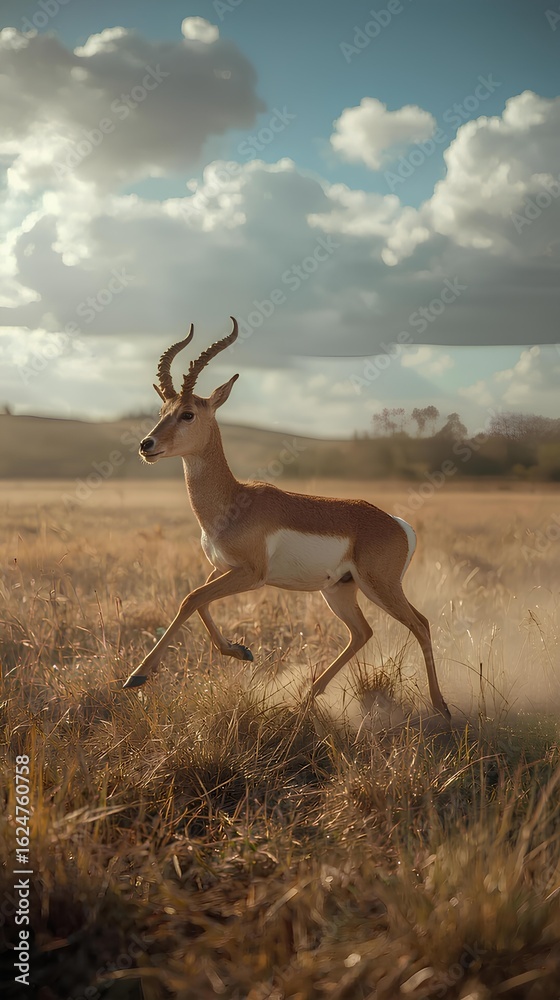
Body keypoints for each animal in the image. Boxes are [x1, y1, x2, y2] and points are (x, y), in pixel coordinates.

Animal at [123, 318, 450, 720]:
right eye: (161, 412)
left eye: (188, 413)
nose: (146, 445)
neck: (233, 501)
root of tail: (399, 524)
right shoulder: (223, 568)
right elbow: (200, 602)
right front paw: (241, 651)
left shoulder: (252, 574)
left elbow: (190, 598)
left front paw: (137, 676)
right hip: (339, 589)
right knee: (363, 632)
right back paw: (309, 695)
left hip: (380, 586)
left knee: (421, 624)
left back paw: (441, 707)